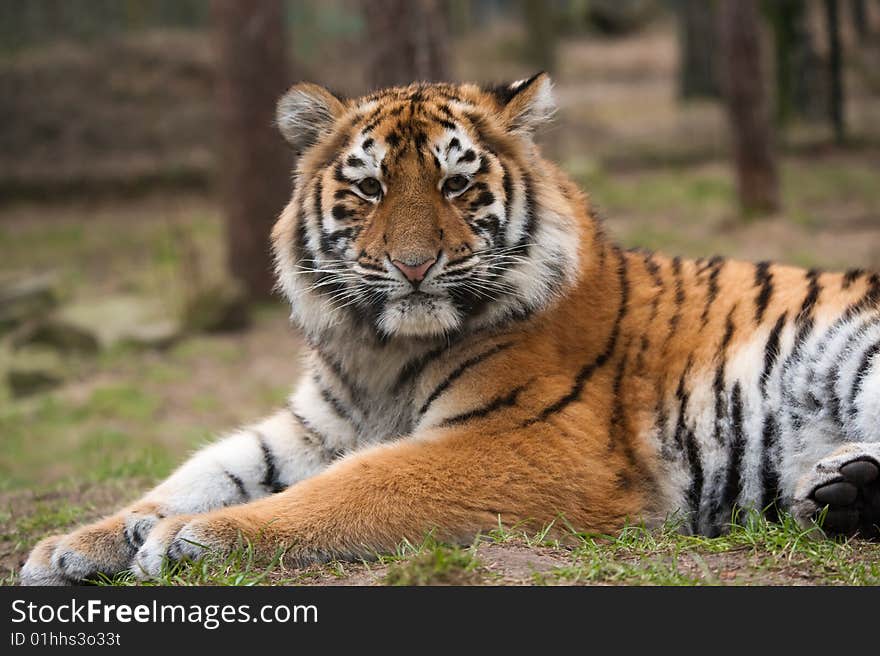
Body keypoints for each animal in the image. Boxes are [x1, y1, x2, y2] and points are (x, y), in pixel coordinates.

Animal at [20, 72, 880, 584]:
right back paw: (843, 488)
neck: (376, 350)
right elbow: (201, 471)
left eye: (457, 184)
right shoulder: (312, 427)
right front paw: (76, 544)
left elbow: (361, 484)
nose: (413, 265)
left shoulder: (525, 441)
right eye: (369, 189)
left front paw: (193, 536)